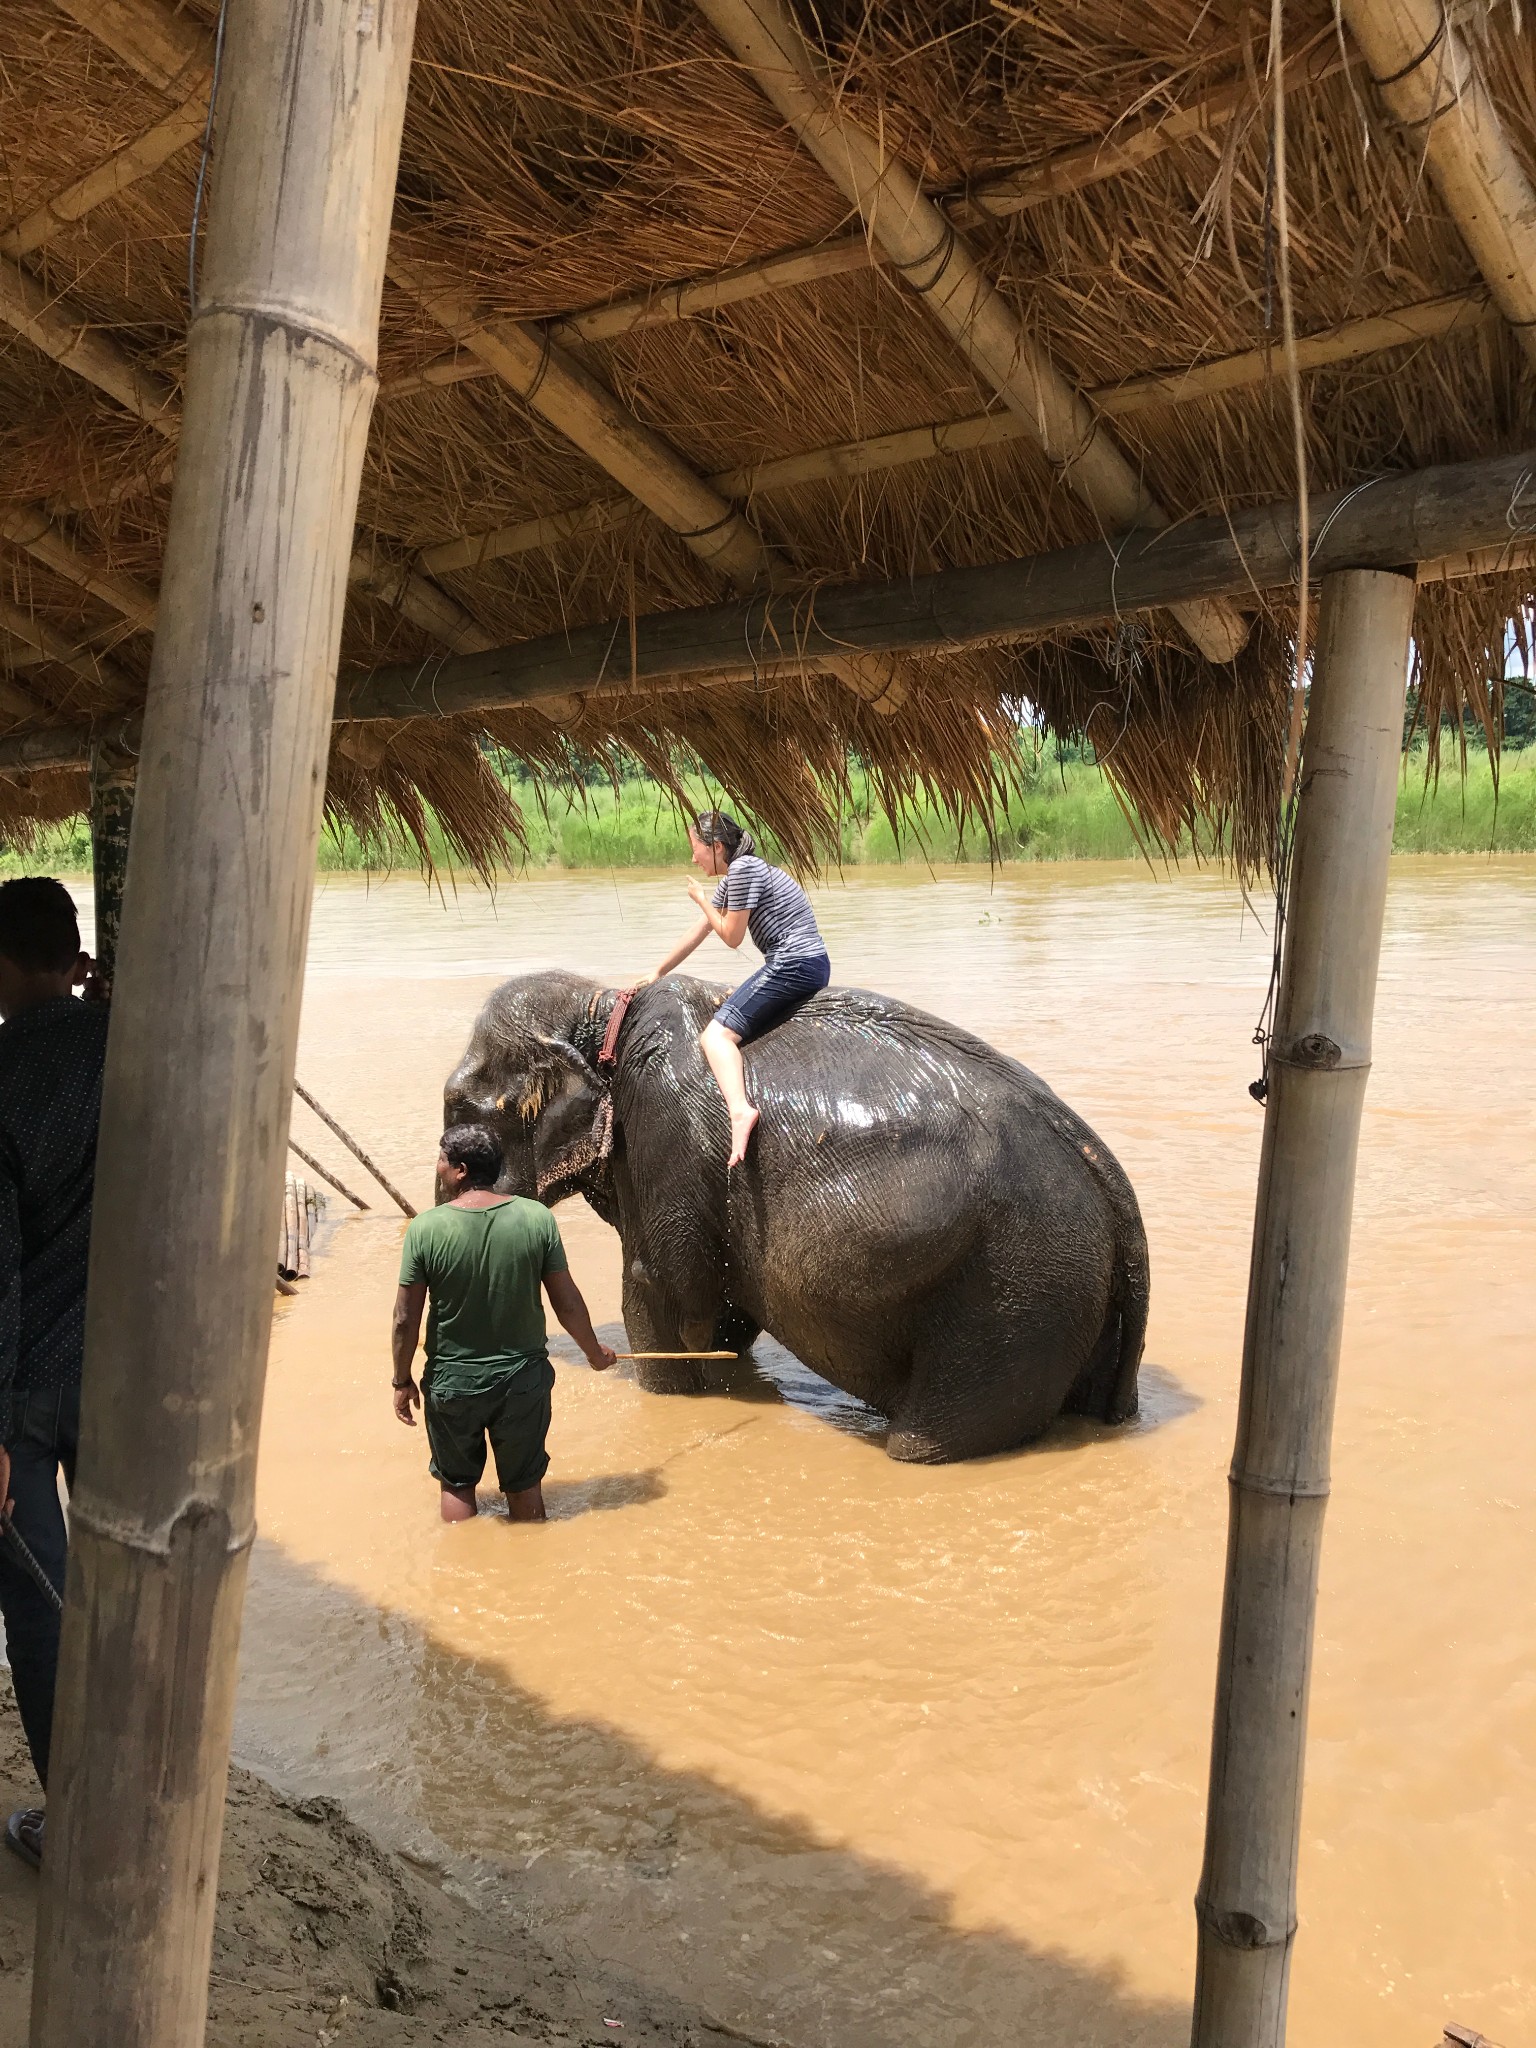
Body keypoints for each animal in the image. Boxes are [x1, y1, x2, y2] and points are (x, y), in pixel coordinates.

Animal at [438, 970, 1146, 1466]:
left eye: (457, 1114)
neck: (602, 1005)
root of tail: (1114, 1189)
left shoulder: (665, 1135)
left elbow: (660, 1294)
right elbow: (723, 1313)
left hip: (1015, 1292)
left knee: (932, 1440)